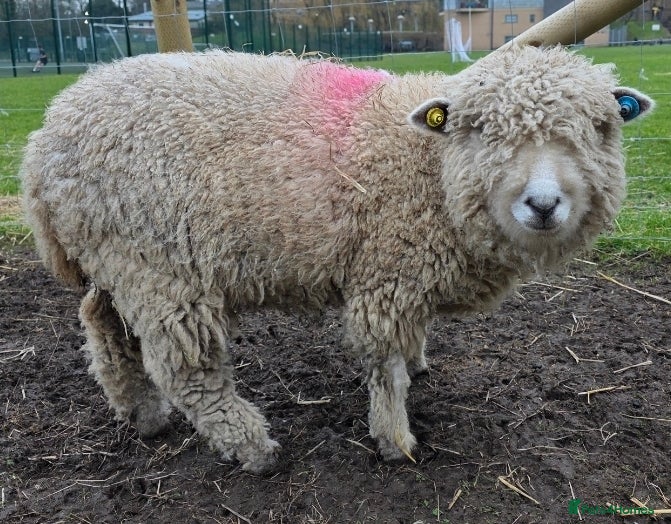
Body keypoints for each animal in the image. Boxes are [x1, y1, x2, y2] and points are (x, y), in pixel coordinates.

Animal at [21, 46, 653, 473]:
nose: (543, 204)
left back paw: (141, 414)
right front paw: (395, 441)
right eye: (479, 130)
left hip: (115, 258)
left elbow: (408, 347)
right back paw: (251, 445)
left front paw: (419, 363)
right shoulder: (386, 272)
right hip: (157, 264)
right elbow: (385, 366)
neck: (429, 165)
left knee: (102, 324)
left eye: (600, 127)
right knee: (184, 368)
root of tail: (44, 140)